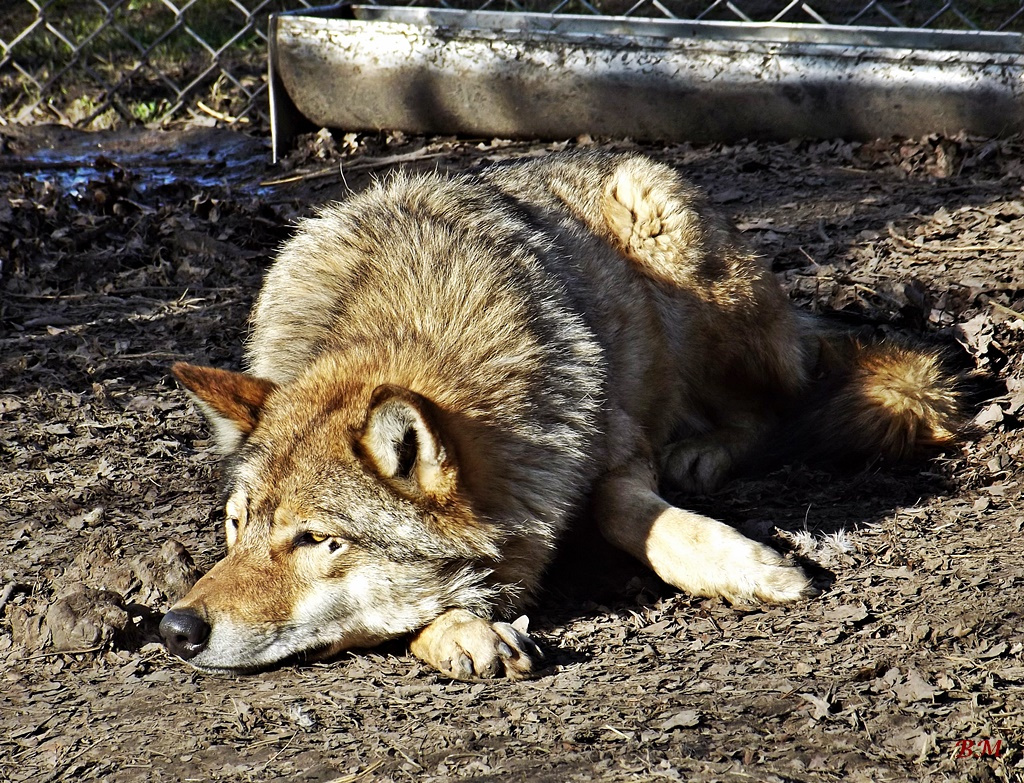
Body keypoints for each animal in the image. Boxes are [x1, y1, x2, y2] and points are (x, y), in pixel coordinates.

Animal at [159, 151, 958, 679]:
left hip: (674, 253)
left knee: (773, 407)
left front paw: (751, 567)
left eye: (314, 539)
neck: (402, 327)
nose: (174, 628)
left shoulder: (610, 445)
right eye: (234, 528)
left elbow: (628, 513)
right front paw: (461, 632)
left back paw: (704, 451)